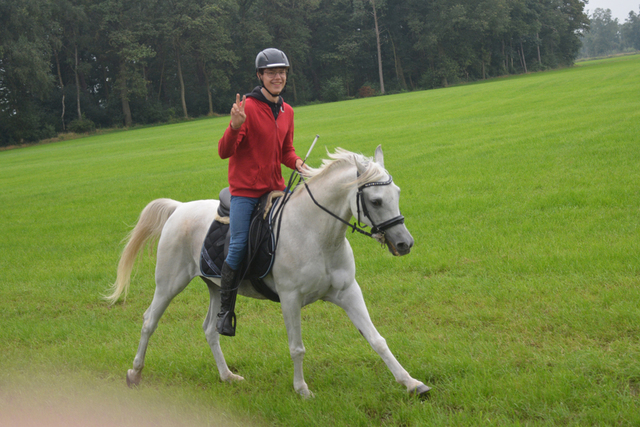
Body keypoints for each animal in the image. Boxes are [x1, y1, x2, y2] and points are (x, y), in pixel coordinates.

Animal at [109, 146, 430, 398]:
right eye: (376, 200)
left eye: (397, 193)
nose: (405, 243)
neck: (317, 235)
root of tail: (179, 208)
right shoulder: (290, 299)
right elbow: (297, 347)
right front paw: (302, 390)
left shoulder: (348, 291)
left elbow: (377, 339)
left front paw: (412, 383)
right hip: (169, 284)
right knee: (149, 321)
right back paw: (135, 373)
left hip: (217, 287)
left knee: (210, 329)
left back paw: (227, 376)